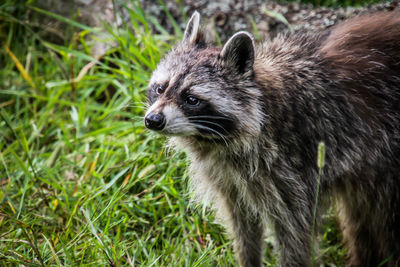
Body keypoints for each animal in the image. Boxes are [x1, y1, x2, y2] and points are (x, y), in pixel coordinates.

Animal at [144, 11, 400, 267]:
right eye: (160, 88)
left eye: (191, 99)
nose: (153, 120)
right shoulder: (230, 179)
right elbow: (243, 227)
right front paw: (247, 259)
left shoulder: (295, 170)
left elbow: (296, 236)